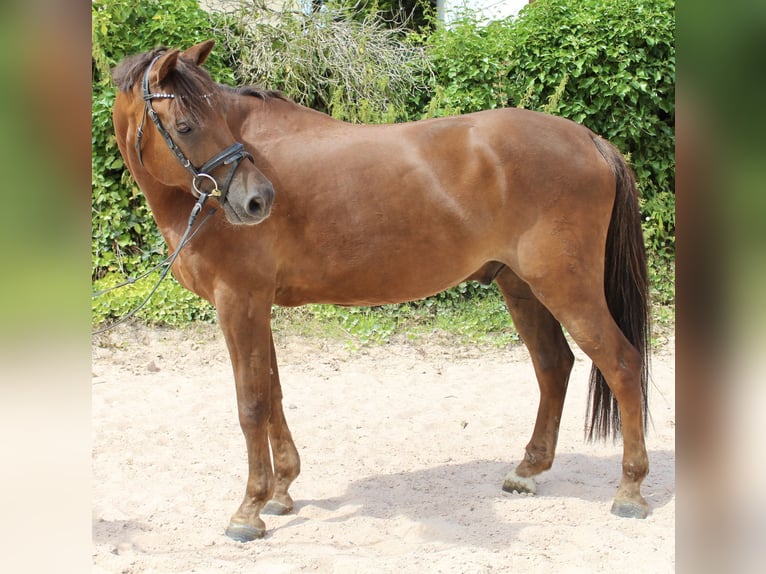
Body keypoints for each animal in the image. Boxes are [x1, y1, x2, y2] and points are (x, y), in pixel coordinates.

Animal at [111, 40, 656, 544]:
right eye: (186, 126)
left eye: (217, 124)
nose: (257, 199)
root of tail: (591, 140)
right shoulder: (257, 305)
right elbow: (273, 393)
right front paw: (282, 491)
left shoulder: (239, 301)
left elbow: (251, 404)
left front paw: (249, 510)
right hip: (521, 286)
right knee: (553, 365)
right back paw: (528, 471)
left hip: (566, 287)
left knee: (622, 364)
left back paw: (630, 491)